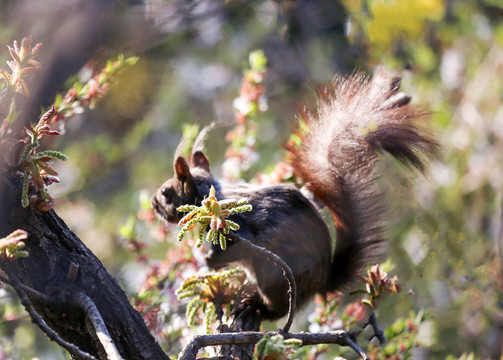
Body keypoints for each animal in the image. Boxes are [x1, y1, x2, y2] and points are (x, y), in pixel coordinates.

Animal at [152, 69, 440, 320]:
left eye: (166, 192)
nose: (154, 204)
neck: (208, 194)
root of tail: (319, 284)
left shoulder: (237, 225)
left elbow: (237, 246)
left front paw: (211, 261)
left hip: (272, 276)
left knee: (278, 309)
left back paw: (256, 306)